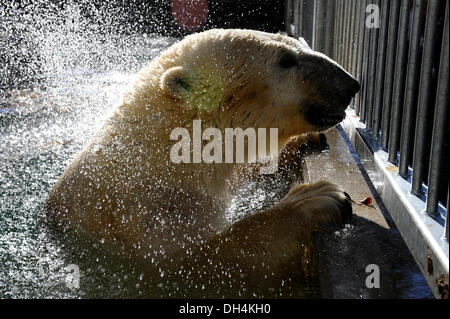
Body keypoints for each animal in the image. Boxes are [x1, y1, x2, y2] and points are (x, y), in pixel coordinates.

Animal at [45, 28, 360, 298]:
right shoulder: (149, 215)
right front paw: (319, 199)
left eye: (294, 44)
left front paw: (303, 142)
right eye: (286, 59)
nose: (351, 84)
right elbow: (204, 263)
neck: (167, 156)